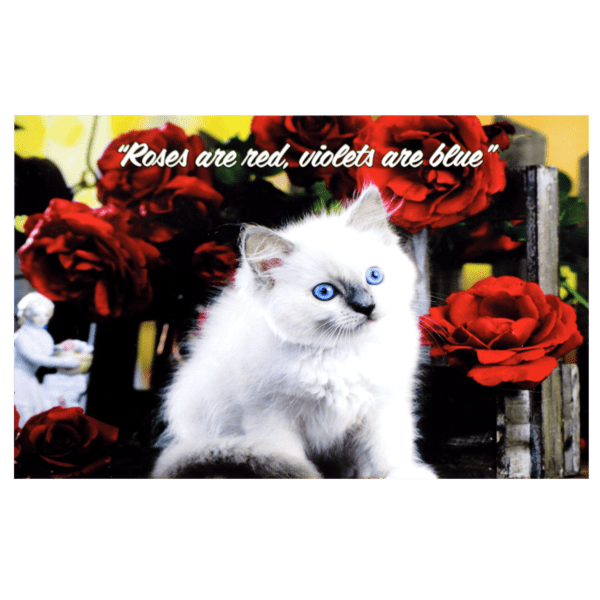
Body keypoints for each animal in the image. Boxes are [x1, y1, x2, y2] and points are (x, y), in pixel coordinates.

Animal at [154, 185, 436, 480]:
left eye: (374, 276)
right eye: (324, 292)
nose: (366, 307)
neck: (340, 353)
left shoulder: (383, 407)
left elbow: (388, 452)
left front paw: (403, 473)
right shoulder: (270, 415)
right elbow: (286, 457)